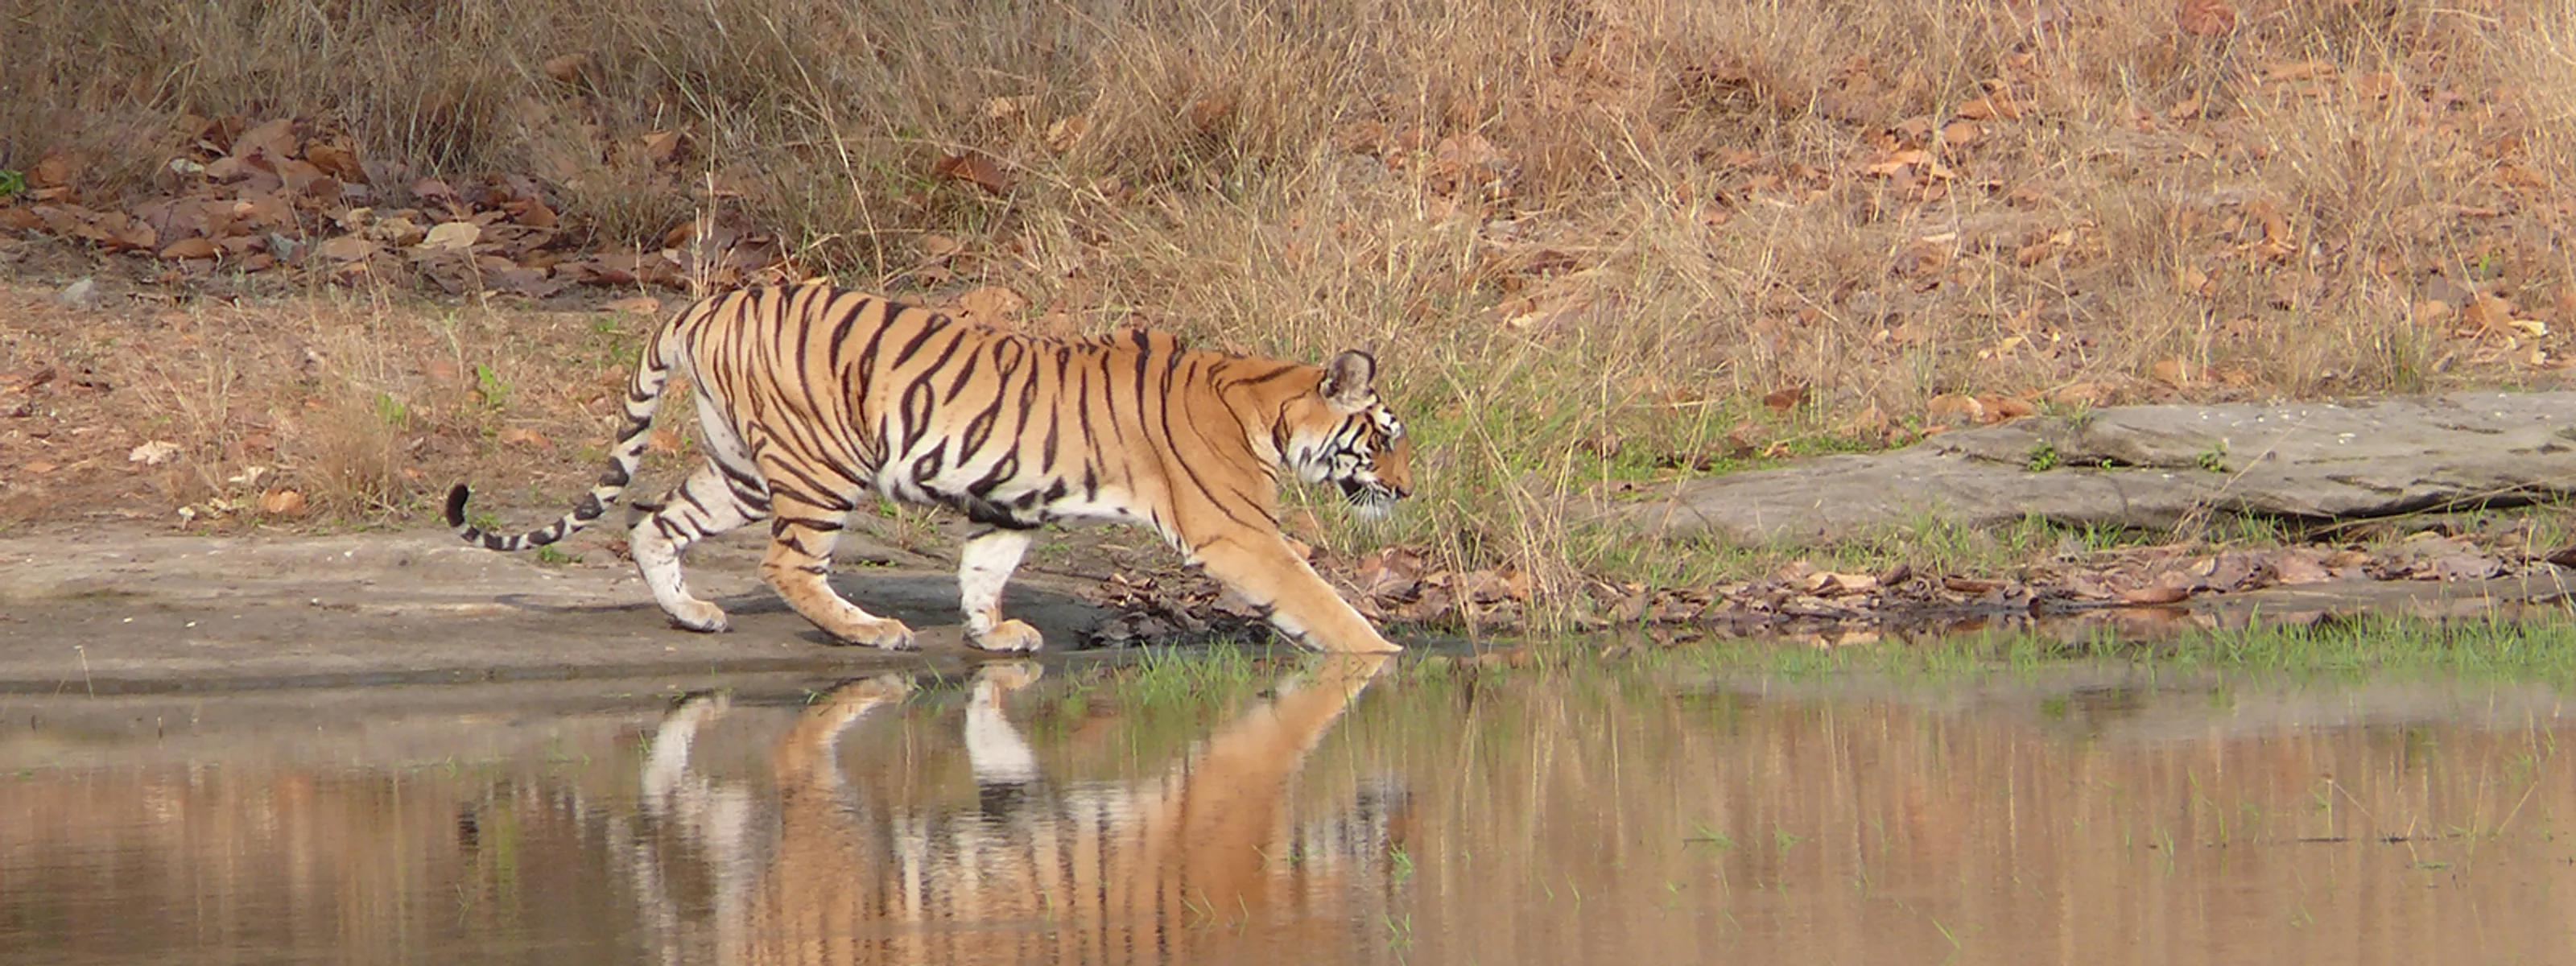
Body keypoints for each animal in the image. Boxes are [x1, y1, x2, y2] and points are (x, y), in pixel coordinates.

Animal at [444, 280, 1413, 653]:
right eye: (1384, 435)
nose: (1405, 490)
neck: (1264, 404)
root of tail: (711, 301)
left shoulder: (1011, 505)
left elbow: (983, 570)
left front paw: (994, 635)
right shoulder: (1237, 531)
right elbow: (1314, 596)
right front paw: (1382, 654)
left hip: (742, 467)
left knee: (653, 522)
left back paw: (693, 615)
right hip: (823, 463)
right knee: (789, 564)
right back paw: (869, 630)